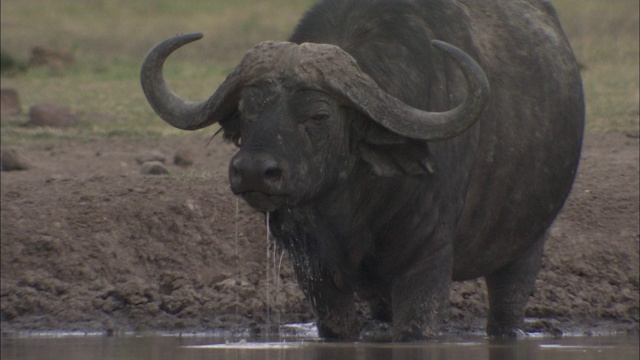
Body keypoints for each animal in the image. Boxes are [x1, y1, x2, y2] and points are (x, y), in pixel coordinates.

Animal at [141, 0, 584, 340]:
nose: (252, 171)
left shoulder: (427, 265)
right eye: (248, 109)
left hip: (527, 244)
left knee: (507, 308)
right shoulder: (314, 271)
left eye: (319, 115)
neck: (354, 208)